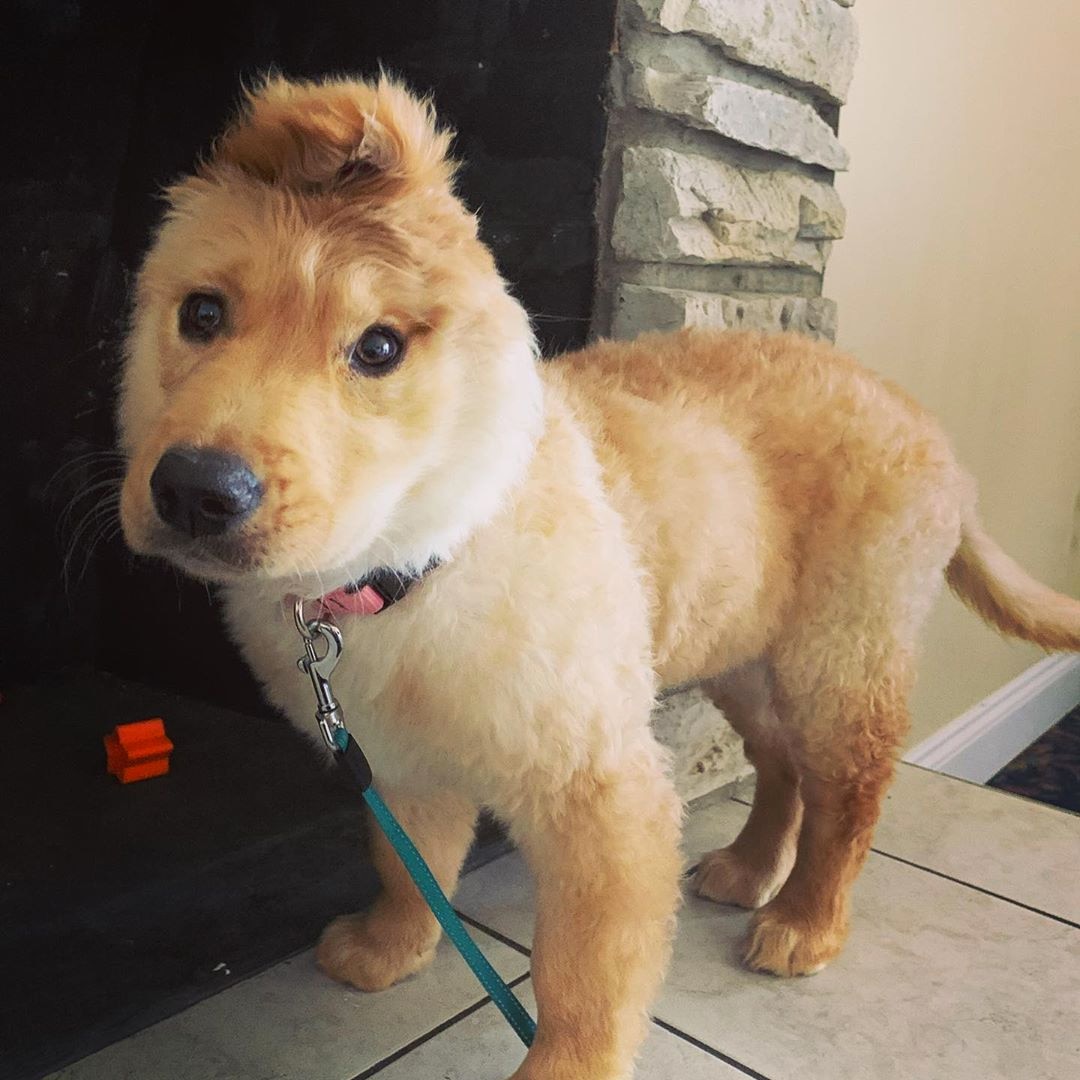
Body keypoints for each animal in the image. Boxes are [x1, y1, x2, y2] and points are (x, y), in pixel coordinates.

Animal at [118, 78, 1080, 1080]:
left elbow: (583, 973)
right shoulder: (396, 760)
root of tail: (928, 426)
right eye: (201, 315)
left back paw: (804, 922)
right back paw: (747, 869)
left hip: (843, 654)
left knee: (847, 794)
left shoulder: (602, 792)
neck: (414, 562)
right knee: (779, 763)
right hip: (741, 648)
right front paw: (390, 949)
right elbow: (408, 865)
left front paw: (564, 1062)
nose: (195, 491)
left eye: (378, 350)